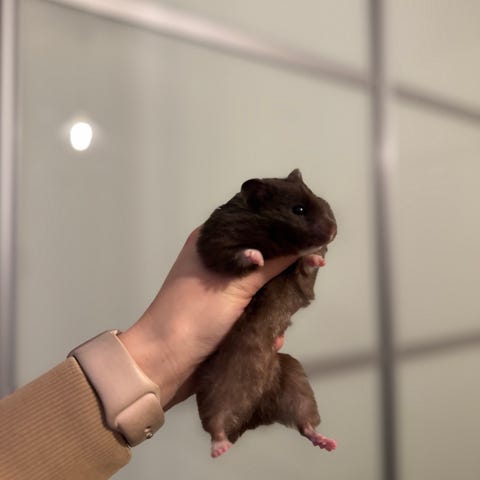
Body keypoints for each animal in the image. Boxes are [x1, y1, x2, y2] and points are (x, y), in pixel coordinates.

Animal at [196, 169, 337, 458]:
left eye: (320, 199)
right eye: (299, 209)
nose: (333, 233)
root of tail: (256, 417)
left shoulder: (301, 281)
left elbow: (306, 267)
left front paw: (318, 258)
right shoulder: (215, 241)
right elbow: (235, 254)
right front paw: (258, 257)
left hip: (295, 378)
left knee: (305, 424)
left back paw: (327, 443)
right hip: (213, 388)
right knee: (216, 423)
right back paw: (219, 447)